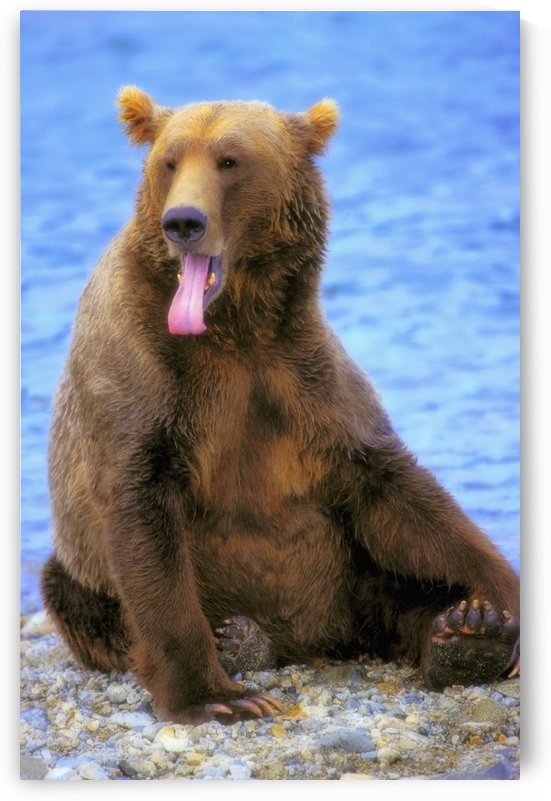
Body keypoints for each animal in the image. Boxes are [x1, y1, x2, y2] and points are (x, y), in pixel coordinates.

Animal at [42, 87, 520, 725]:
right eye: (169, 161)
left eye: (229, 160)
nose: (183, 222)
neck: (232, 327)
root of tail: (310, 639)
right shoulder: (142, 376)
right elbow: (142, 517)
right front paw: (218, 695)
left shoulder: (301, 379)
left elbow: (396, 489)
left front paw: (500, 599)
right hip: (84, 569)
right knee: (76, 595)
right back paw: (237, 637)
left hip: (350, 576)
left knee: (400, 589)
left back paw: (468, 633)